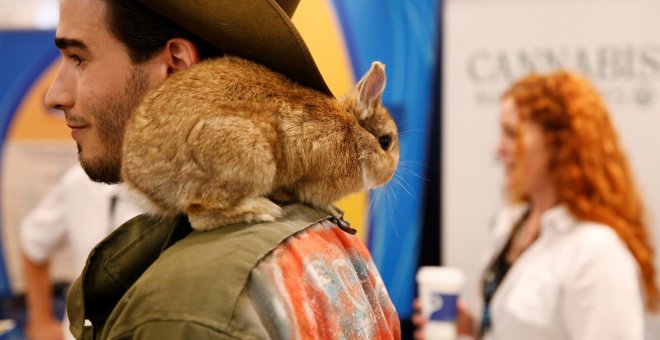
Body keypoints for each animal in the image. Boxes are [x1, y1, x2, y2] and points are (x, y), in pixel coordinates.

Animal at [121, 56, 400, 231]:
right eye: (385, 142)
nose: (389, 176)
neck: (353, 134)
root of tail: (140, 182)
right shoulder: (317, 183)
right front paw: (334, 210)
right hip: (247, 157)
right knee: (199, 215)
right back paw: (263, 209)